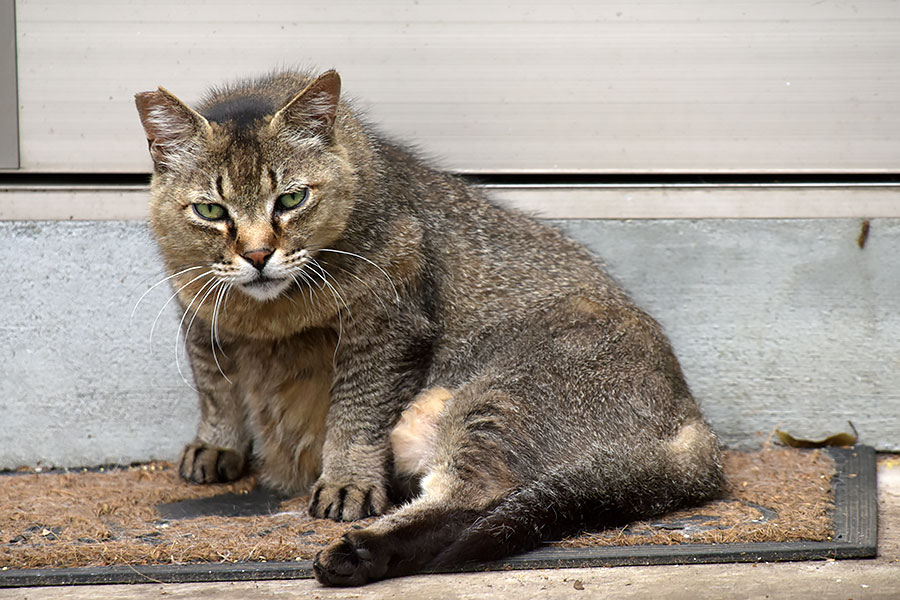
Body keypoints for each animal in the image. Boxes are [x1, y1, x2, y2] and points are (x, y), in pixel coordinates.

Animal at [134, 68, 724, 584]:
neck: (267, 316)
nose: (257, 255)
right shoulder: (197, 313)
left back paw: (357, 553)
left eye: (292, 198)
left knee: (473, 501)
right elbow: (215, 388)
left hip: (498, 397)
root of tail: (698, 428)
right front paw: (216, 446)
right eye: (212, 210)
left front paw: (346, 482)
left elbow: (354, 415)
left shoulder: (387, 332)